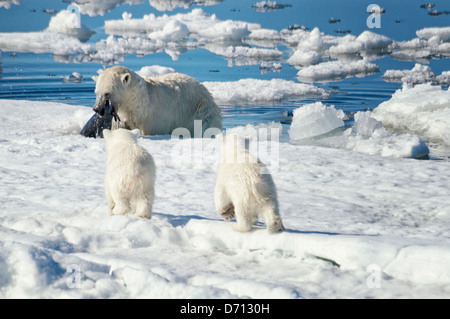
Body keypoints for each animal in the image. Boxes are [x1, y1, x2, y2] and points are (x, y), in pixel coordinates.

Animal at [92, 65, 222, 136]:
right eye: (96, 92)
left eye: (107, 93)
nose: (96, 109)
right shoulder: (124, 114)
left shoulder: (149, 117)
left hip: (202, 111)